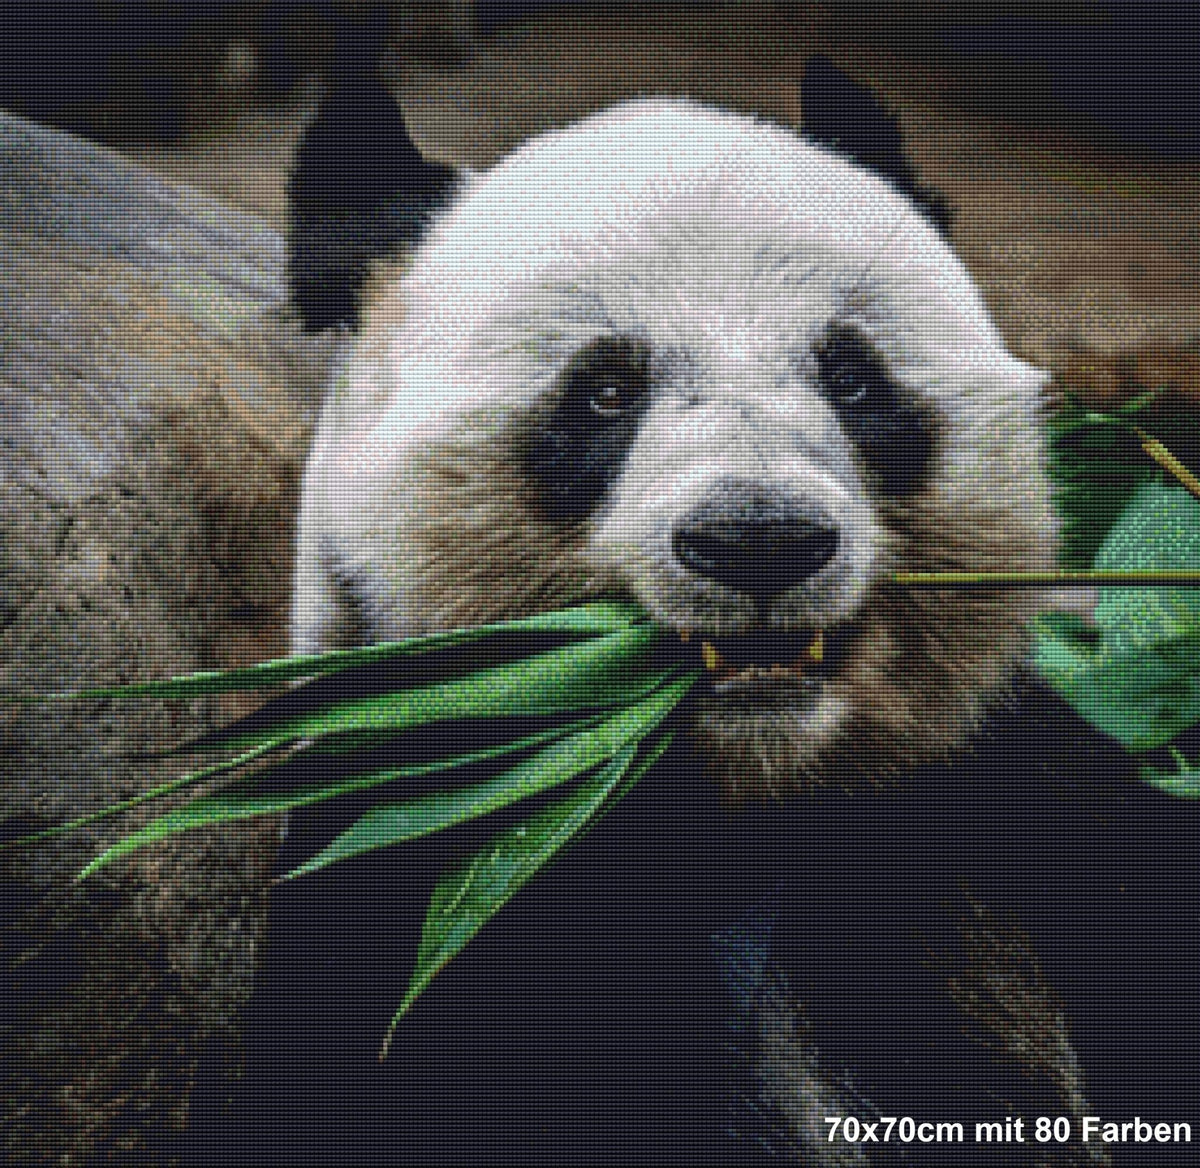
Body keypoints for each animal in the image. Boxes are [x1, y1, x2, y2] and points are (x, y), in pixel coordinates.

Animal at [191, 58, 1200, 1168]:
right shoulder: (434, 888)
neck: (737, 800)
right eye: (603, 391)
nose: (760, 539)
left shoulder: (1007, 818)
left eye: (851, 376)